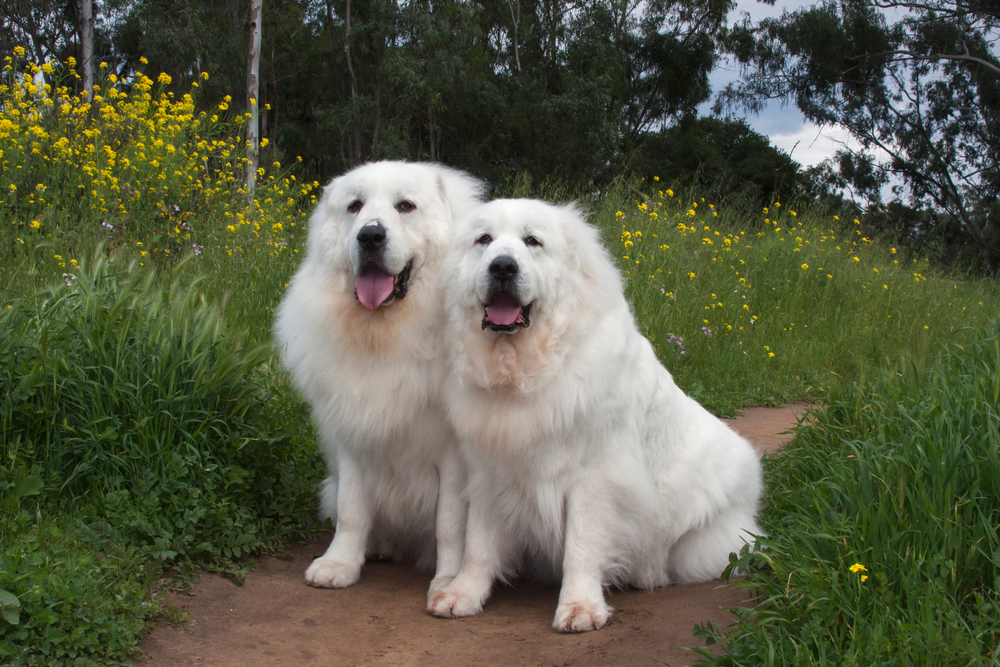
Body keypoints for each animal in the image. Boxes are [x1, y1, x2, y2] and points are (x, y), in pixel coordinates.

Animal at [270, 159, 480, 592]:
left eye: (405, 206)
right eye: (355, 206)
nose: (370, 236)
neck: (388, 334)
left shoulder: (454, 458)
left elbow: (450, 523)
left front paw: (448, 579)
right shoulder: (353, 433)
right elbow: (351, 511)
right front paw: (340, 564)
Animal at [426, 197, 760, 632]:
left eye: (532, 241)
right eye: (484, 240)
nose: (502, 267)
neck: (525, 371)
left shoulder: (594, 478)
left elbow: (581, 546)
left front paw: (580, 607)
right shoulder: (489, 471)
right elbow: (478, 544)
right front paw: (463, 594)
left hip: (701, 535)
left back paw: (648, 573)